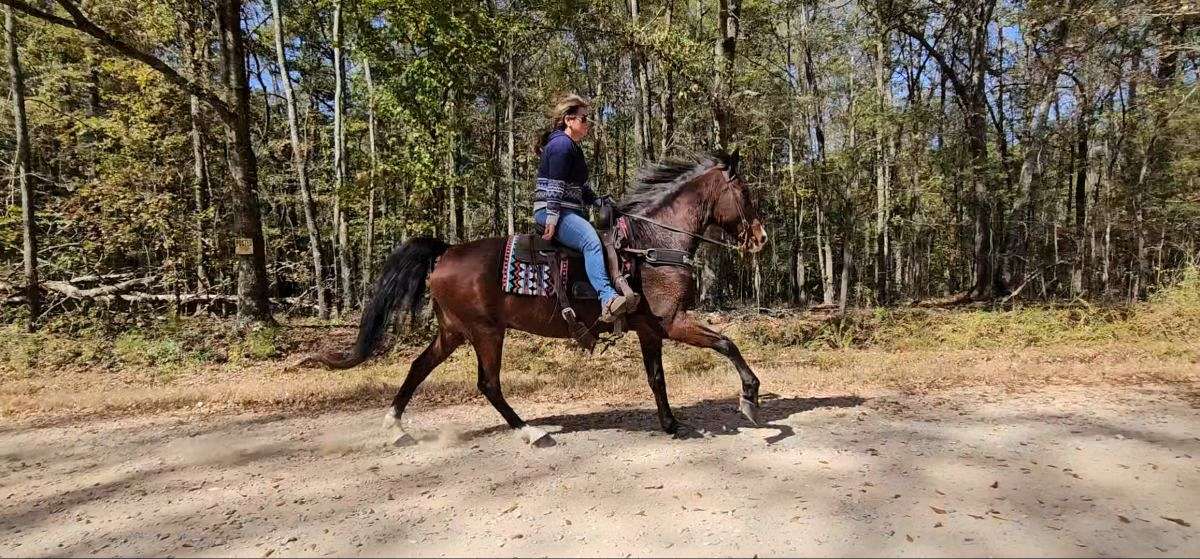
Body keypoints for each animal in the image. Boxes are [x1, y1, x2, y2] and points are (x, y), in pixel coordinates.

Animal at [305, 151, 768, 447]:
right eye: (745, 192)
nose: (761, 237)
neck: (652, 243)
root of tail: (447, 252)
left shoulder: (651, 329)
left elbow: (657, 377)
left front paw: (671, 423)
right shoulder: (674, 321)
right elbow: (727, 343)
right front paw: (749, 399)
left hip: (453, 331)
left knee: (419, 366)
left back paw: (396, 426)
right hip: (485, 332)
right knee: (488, 384)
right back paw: (531, 431)